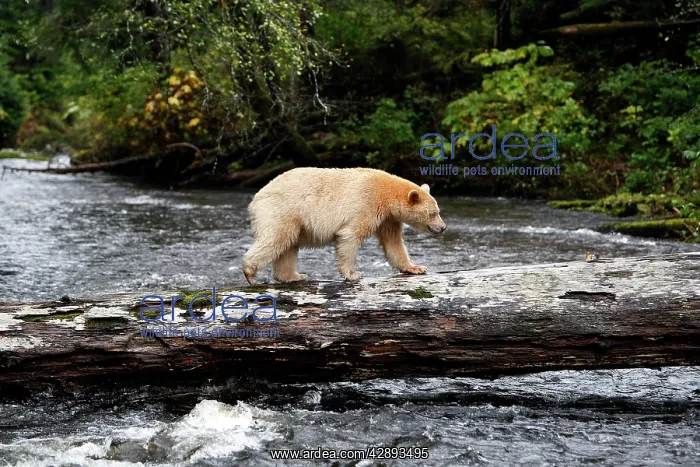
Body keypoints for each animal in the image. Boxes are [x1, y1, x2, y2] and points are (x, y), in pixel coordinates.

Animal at [242, 167, 447, 285]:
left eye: (438, 210)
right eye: (433, 213)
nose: (443, 227)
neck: (386, 194)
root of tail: (255, 199)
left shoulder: (388, 219)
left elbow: (393, 243)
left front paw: (416, 267)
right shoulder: (367, 204)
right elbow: (350, 235)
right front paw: (353, 274)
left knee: (288, 245)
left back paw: (293, 276)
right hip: (282, 210)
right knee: (276, 239)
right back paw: (251, 274)